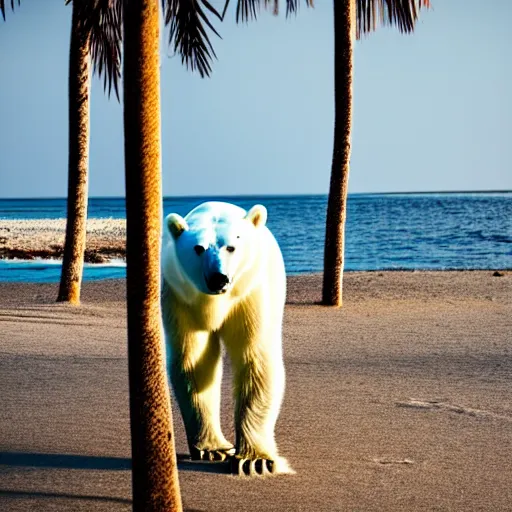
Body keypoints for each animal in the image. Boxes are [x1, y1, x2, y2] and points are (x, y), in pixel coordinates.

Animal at [161, 201, 288, 476]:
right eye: (198, 248)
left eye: (231, 246)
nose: (218, 278)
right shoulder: (182, 298)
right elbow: (194, 363)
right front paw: (213, 449)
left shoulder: (249, 295)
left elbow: (255, 359)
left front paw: (254, 460)